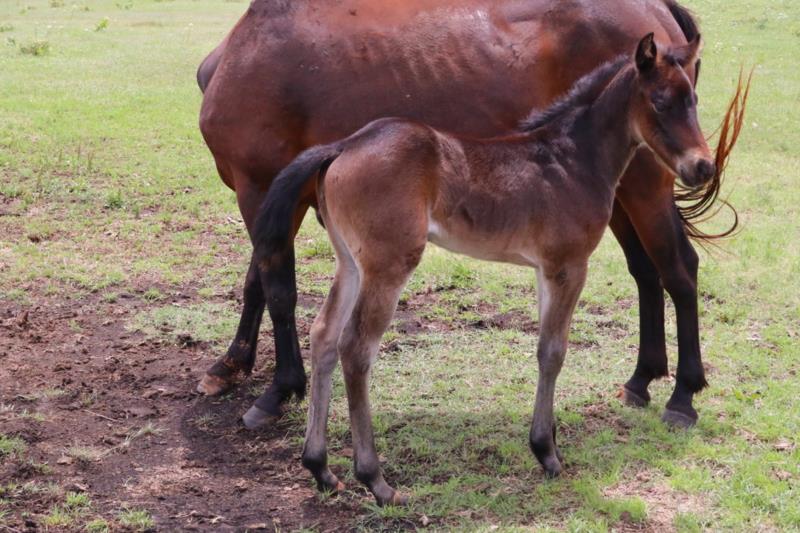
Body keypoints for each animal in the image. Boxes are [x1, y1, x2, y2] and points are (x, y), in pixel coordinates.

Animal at [196, 0, 744, 431]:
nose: (702, 164)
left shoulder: (260, 186)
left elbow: (277, 288)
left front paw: (277, 389)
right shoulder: (273, 195)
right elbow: (258, 281)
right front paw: (232, 365)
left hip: (647, 186)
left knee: (678, 270)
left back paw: (683, 395)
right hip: (625, 192)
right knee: (647, 273)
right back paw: (642, 379)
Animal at [249, 34, 719, 506]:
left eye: (694, 98)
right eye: (660, 102)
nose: (703, 167)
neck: (573, 159)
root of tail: (344, 145)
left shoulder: (544, 269)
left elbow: (545, 350)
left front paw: (549, 441)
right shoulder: (569, 266)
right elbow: (554, 351)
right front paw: (546, 453)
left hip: (350, 263)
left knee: (324, 336)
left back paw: (321, 469)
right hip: (388, 265)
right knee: (356, 349)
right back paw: (376, 480)